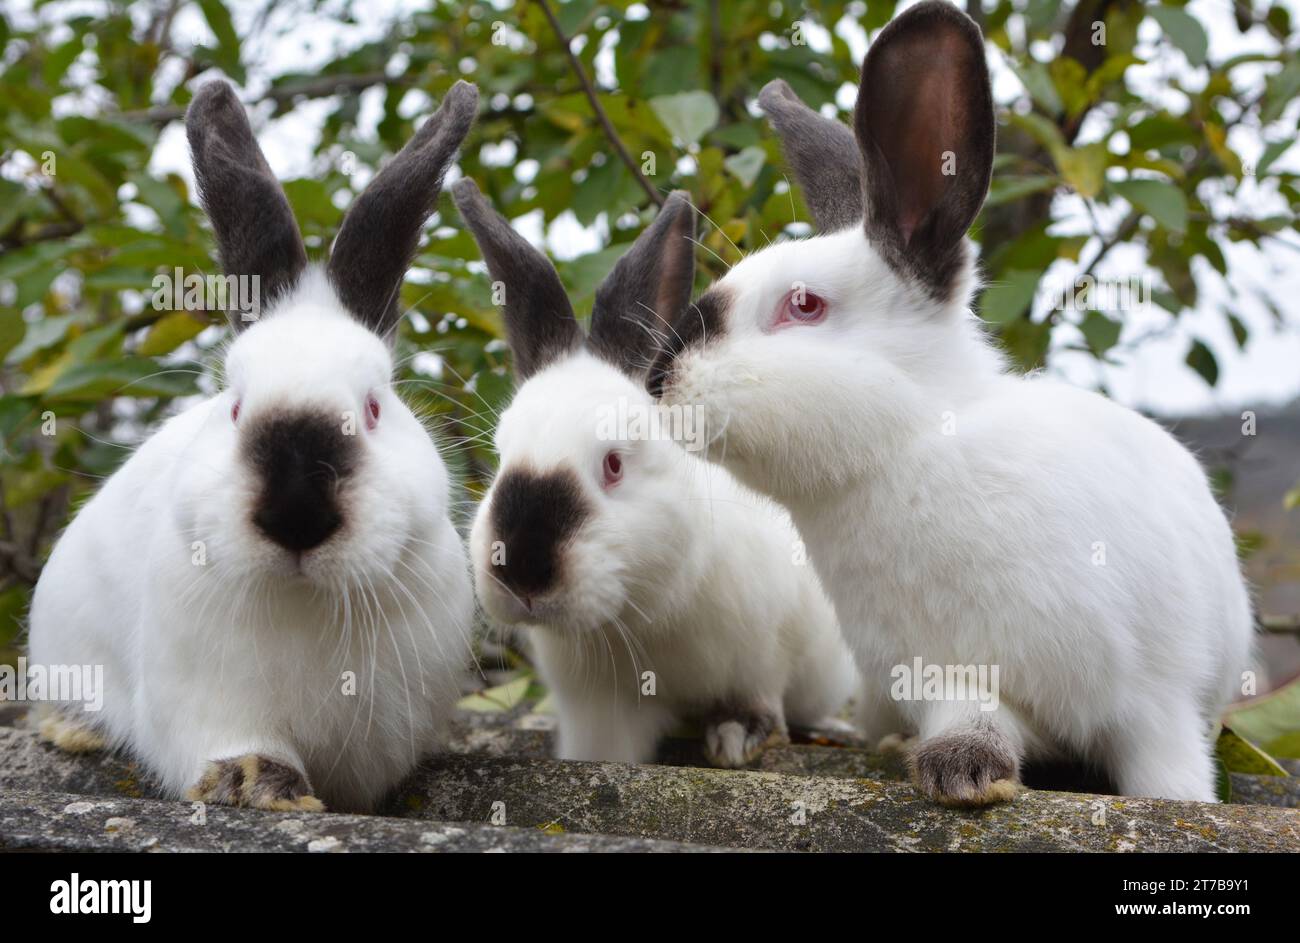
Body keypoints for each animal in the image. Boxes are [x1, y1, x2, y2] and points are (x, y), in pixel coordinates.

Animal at [25, 80, 480, 813]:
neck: (305, 601)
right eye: (234, 404)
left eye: (374, 407)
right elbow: (241, 745)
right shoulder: (208, 704)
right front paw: (263, 787)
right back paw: (73, 730)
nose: (297, 513)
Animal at [452, 179, 857, 767]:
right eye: (502, 452)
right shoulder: (597, 706)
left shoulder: (761, 654)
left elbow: (755, 698)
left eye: (614, 464)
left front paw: (738, 739)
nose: (523, 570)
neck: (641, 608)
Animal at [648, 0, 1253, 804]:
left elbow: (1170, 776)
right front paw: (962, 771)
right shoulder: (950, 674)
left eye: (804, 305)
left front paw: (1177, 804)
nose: (660, 381)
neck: (908, 453)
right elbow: (974, 718)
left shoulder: (1157, 703)